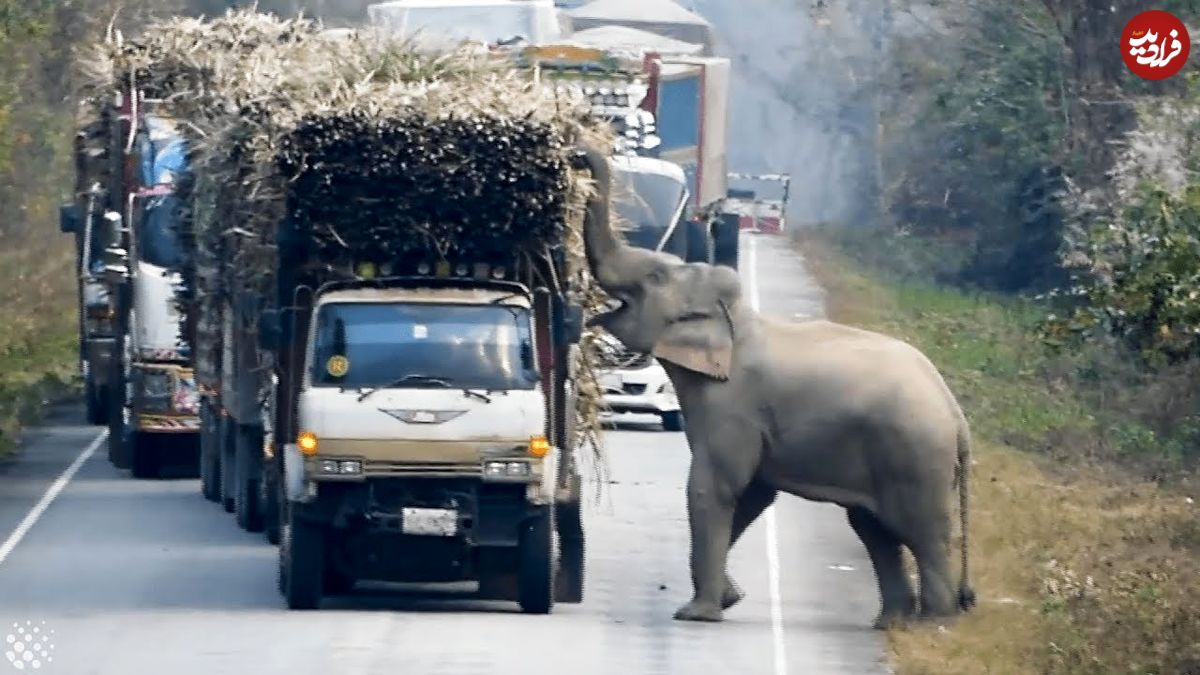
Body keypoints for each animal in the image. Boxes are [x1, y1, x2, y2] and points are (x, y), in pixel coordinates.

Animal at [571, 147, 974, 624]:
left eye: (654, 279)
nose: (578, 156)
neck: (737, 320)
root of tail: (956, 415)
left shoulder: (731, 404)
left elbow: (715, 486)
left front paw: (697, 614)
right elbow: (753, 494)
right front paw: (730, 598)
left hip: (915, 455)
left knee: (922, 534)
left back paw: (933, 623)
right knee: (873, 528)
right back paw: (892, 623)